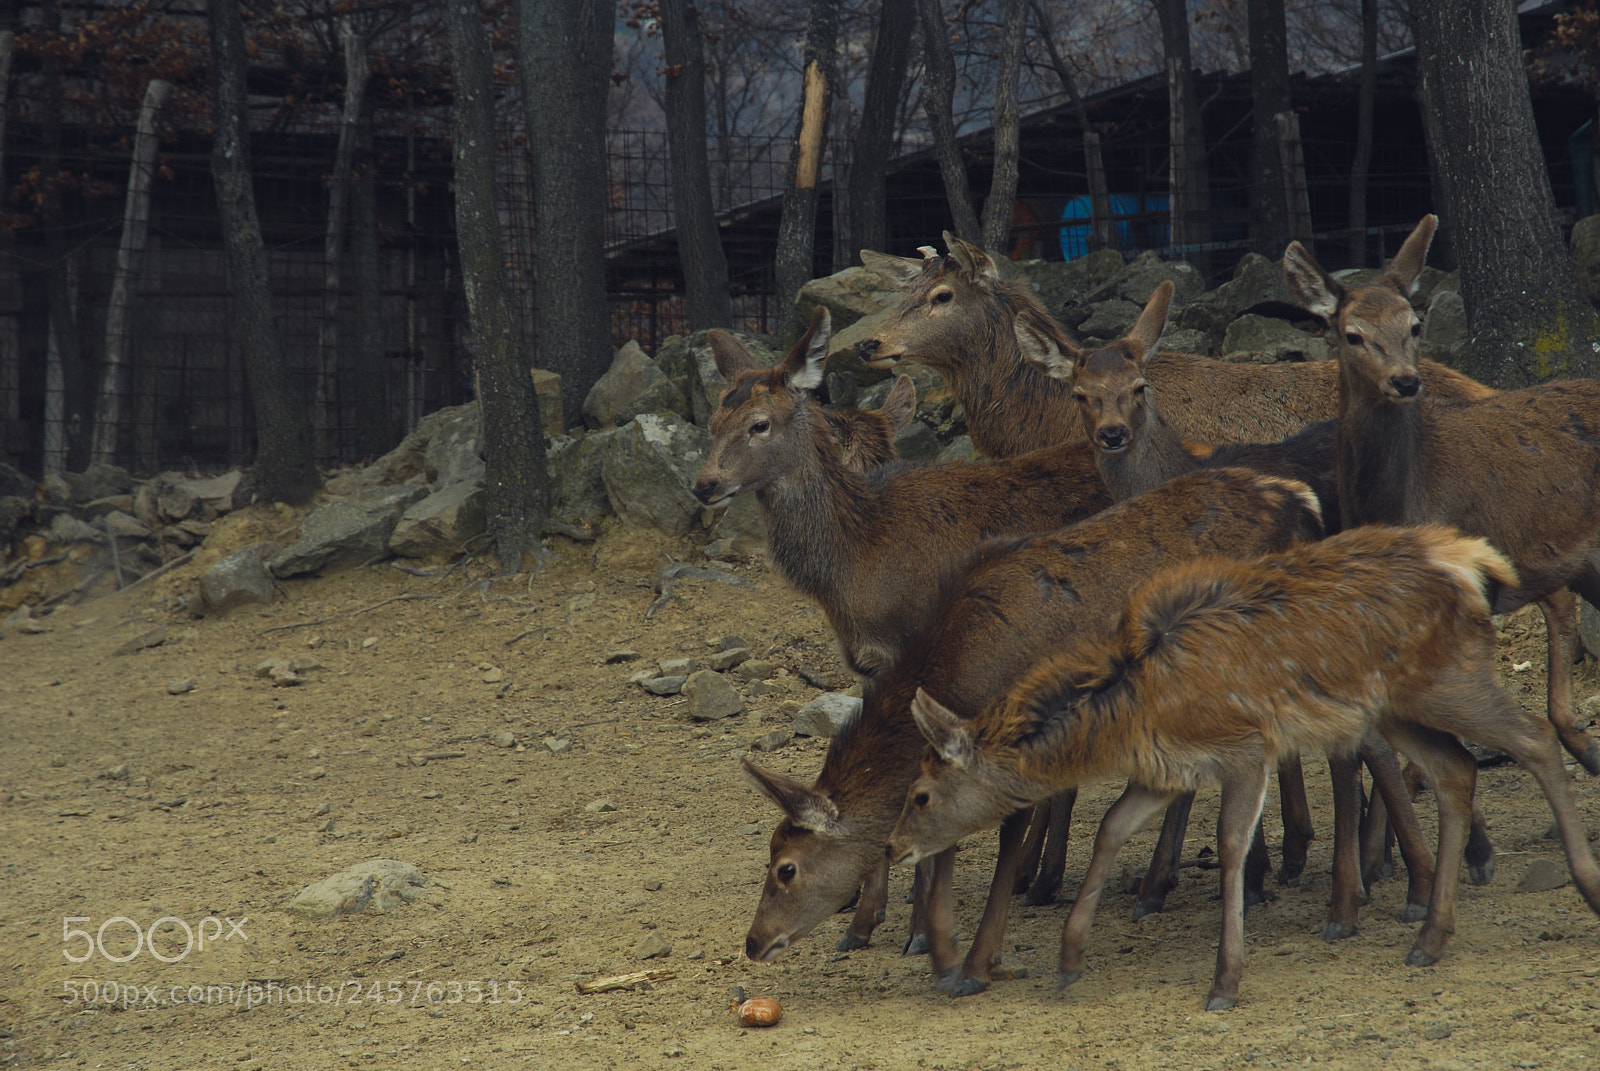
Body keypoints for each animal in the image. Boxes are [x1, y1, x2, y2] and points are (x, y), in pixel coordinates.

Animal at [742, 465, 1324, 997]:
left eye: (786, 869)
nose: (752, 942)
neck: (961, 668)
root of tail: (1301, 500)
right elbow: (945, 840)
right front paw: (936, 950)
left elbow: (1000, 841)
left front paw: (970, 963)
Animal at [890, 524, 1600, 1011]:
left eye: (919, 793)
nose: (895, 846)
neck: (1132, 713)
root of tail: (1471, 560)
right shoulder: (1166, 770)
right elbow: (1111, 829)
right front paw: (1069, 960)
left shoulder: (1246, 747)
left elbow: (1231, 845)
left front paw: (1225, 981)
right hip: (1397, 706)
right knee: (1456, 770)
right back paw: (1429, 938)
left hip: (1450, 678)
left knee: (1533, 739)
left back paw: (1584, 885)